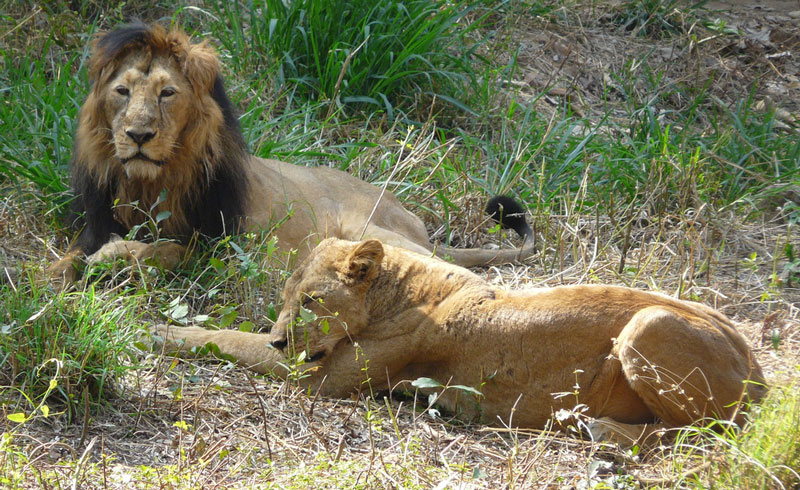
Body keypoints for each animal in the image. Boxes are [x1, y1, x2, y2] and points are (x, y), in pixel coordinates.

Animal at [47, 23, 528, 282]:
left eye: (167, 93)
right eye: (122, 91)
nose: (138, 135)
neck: (149, 184)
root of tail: (417, 223)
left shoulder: (215, 251)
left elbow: (159, 251)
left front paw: (111, 257)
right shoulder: (95, 222)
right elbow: (66, 259)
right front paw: (48, 284)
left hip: (369, 230)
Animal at [158, 239, 768, 442]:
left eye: (311, 301)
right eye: (286, 296)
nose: (283, 340)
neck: (401, 285)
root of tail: (760, 369)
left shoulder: (321, 378)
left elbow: (228, 338)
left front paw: (156, 329)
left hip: (651, 324)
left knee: (704, 433)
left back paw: (602, 430)